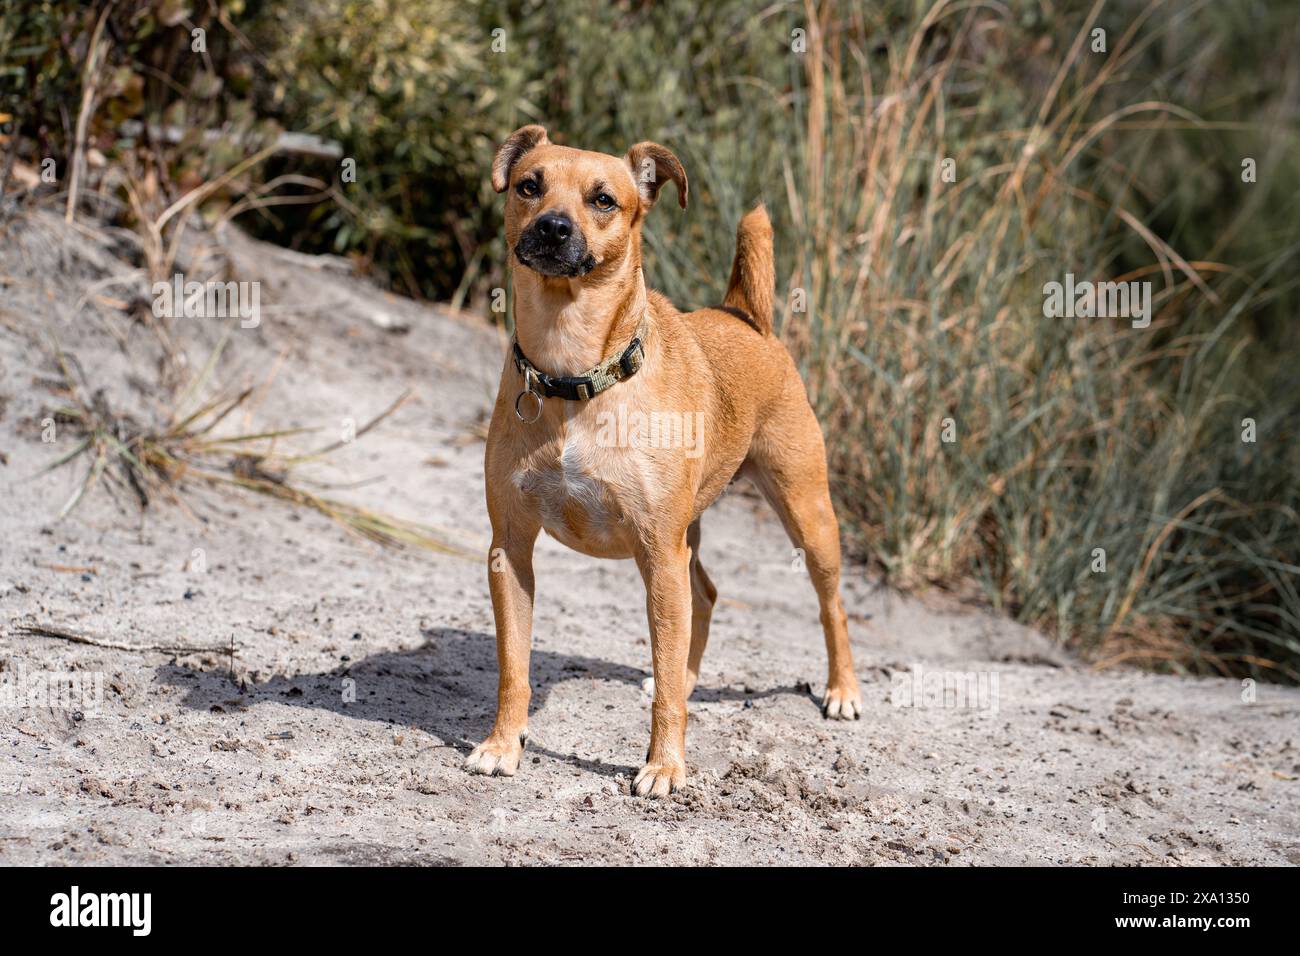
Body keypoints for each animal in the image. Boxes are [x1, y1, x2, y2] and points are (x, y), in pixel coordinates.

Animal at [467, 127, 863, 801]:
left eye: (603, 199)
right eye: (529, 185)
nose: (552, 228)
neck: (575, 374)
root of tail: (744, 316)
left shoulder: (657, 551)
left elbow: (666, 689)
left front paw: (664, 766)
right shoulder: (511, 550)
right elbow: (512, 667)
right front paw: (502, 745)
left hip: (805, 516)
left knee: (829, 603)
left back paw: (841, 691)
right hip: (689, 536)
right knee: (704, 595)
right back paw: (694, 674)